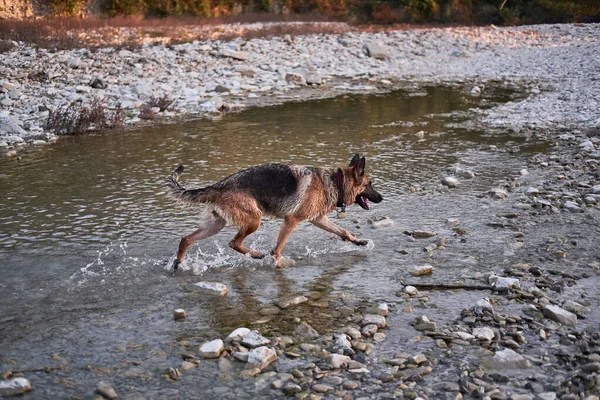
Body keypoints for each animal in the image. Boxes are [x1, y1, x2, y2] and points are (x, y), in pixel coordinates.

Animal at [165, 153, 380, 268]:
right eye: (370, 184)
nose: (382, 198)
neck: (336, 181)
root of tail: (218, 185)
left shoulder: (318, 219)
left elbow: (343, 231)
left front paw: (358, 241)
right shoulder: (291, 220)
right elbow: (277, 249)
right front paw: (278, 263)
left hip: (216, 225)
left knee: (186, 239)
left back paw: (178, 264)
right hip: (254, 220)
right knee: (233, 242)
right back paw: (256, 254)